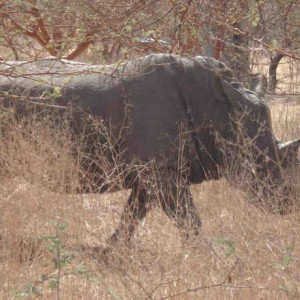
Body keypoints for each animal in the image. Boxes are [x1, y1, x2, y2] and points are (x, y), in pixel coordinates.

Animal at [0, 54, 300, 253]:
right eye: (263, 164)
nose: (288, 205)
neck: (217, 111)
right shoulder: (161, 170)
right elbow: (188, 217)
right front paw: (209, 255)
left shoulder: (153, 169)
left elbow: (135, 212)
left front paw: (113, 250)